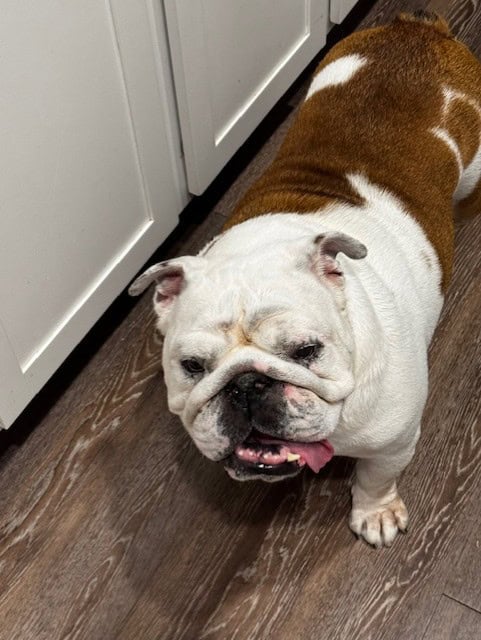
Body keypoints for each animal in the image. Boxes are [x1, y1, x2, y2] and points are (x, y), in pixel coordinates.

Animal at [129, 13, 481, 547]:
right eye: (191, 366)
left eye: (307, 351)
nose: (247, 384)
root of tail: (417, 25)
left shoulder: (395, 442)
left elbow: (376, 477)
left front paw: (375, 512)